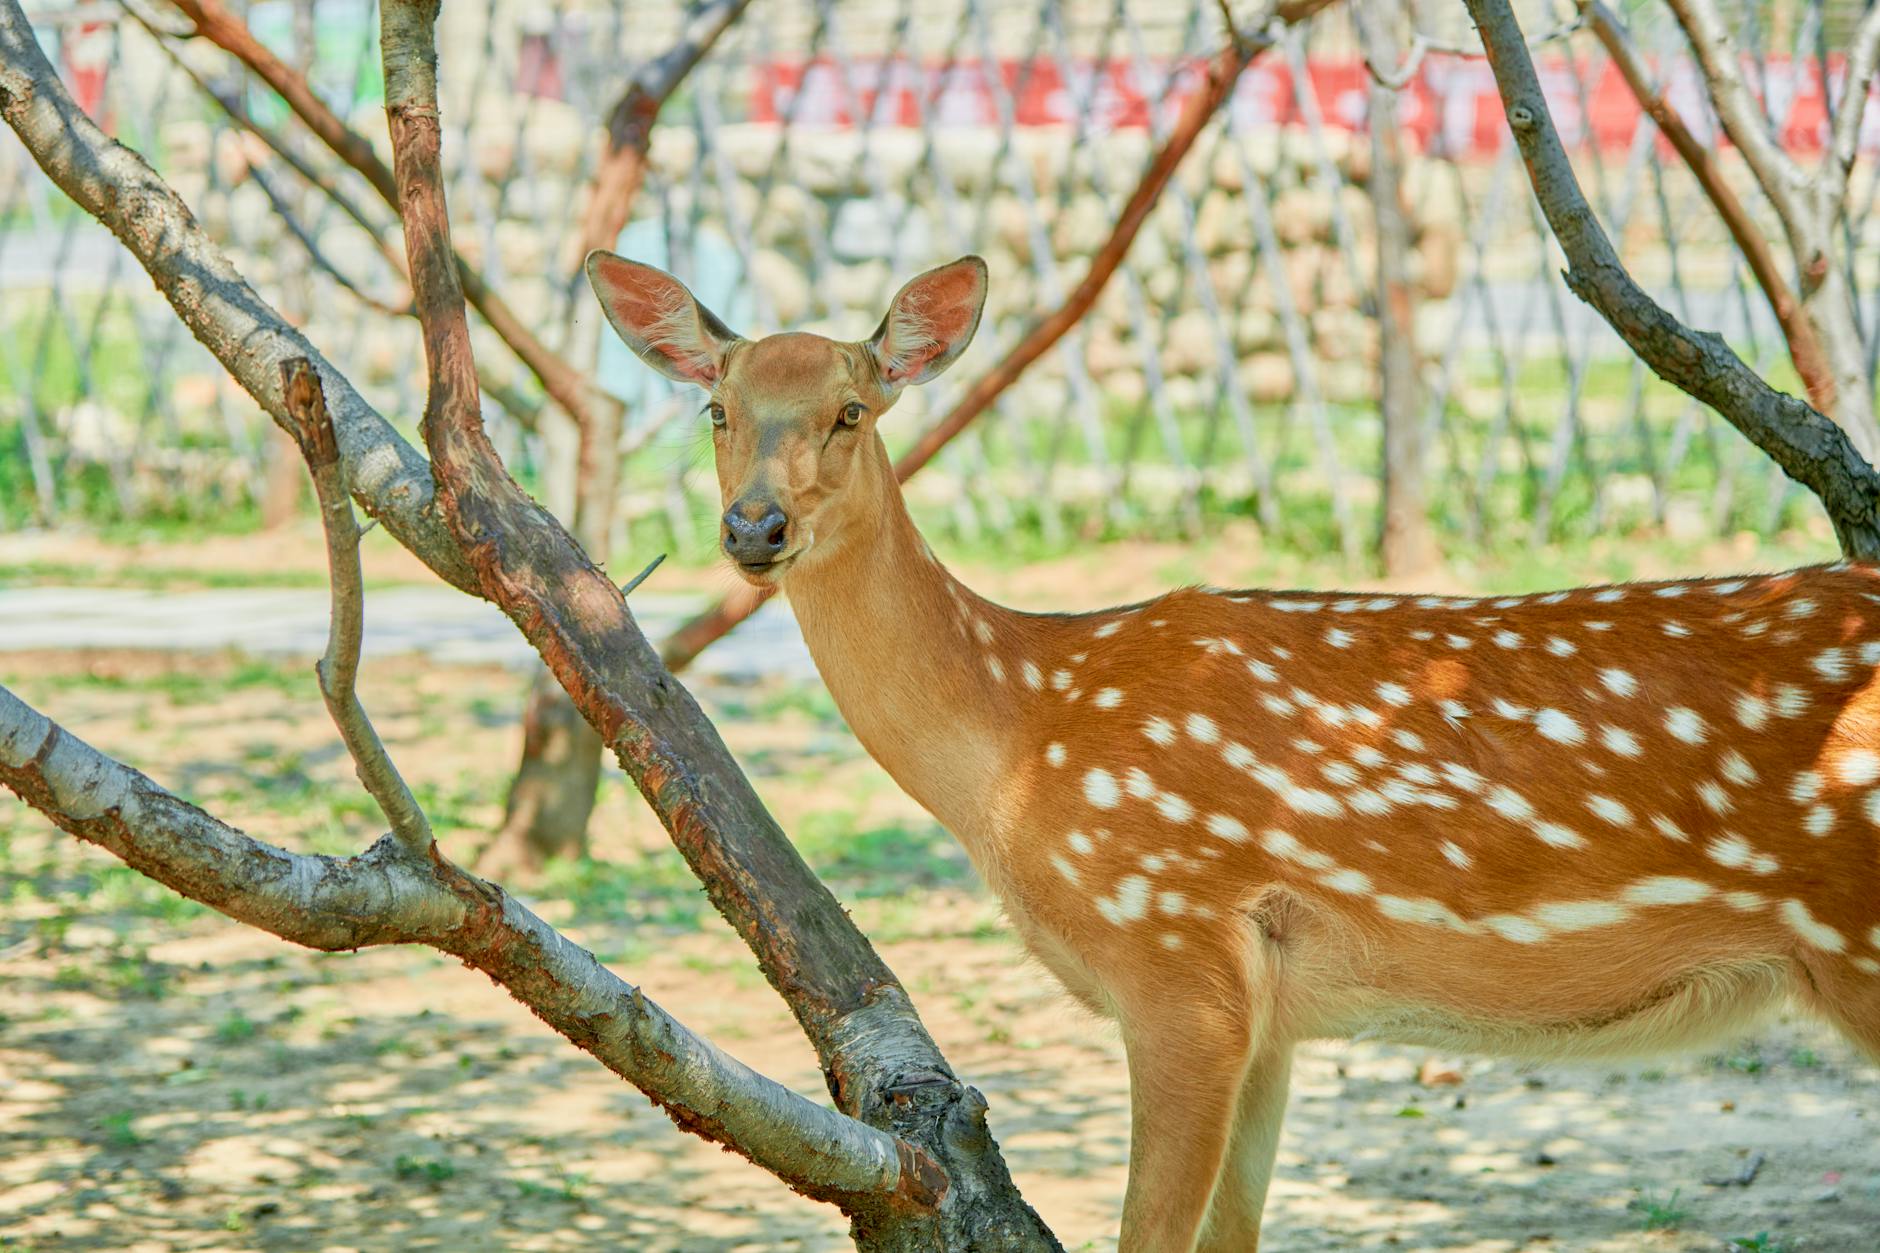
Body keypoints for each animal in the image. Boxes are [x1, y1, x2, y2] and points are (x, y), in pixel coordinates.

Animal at [586, 251, 1880, 1251]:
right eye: (716, 409)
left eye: (851, 411)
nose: (753, 526)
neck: (1017, 740)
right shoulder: (1272, 1014)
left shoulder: (1174, 949)